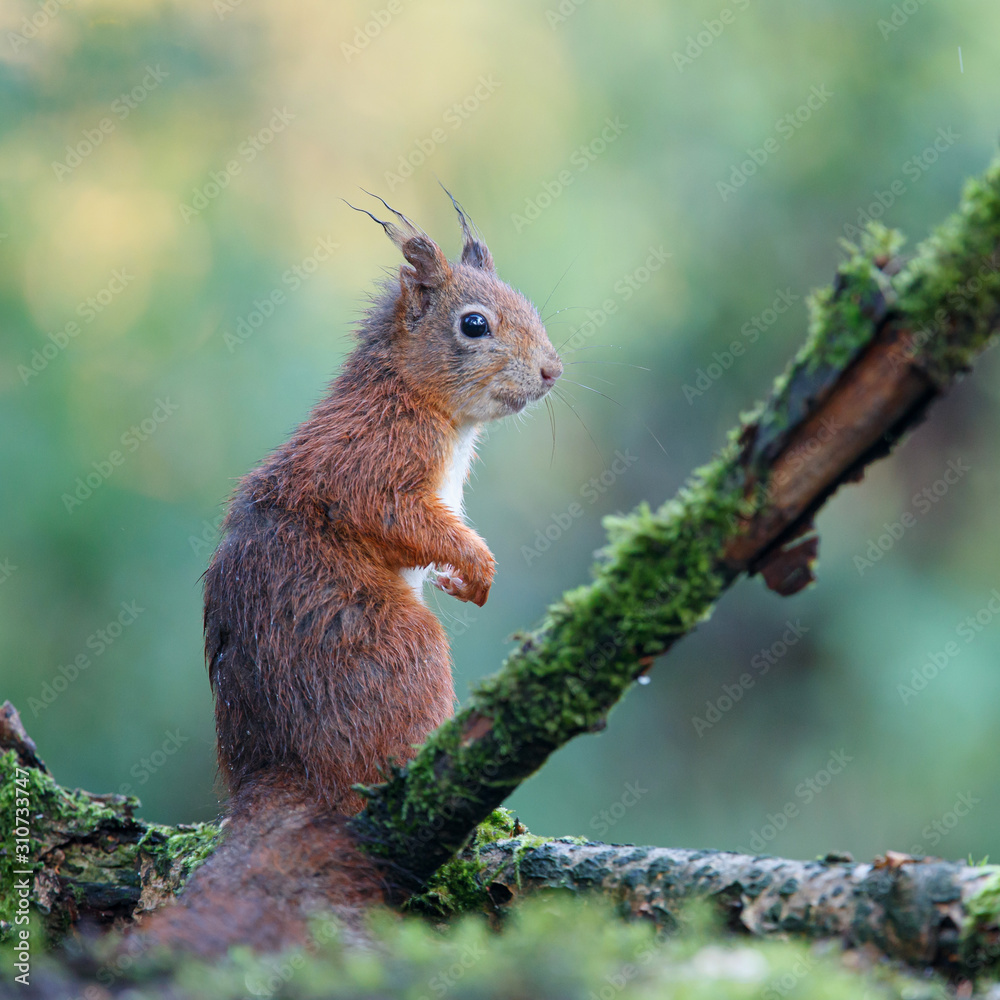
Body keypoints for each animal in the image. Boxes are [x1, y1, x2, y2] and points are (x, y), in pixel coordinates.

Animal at [136, 194, 563, 955]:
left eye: (529, 305)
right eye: (474, 324)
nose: (552, 372)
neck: (412, 393)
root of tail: (281, 770)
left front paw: (463, 579)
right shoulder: (372, 464)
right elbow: (397, 518)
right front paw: (476, 567)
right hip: (400, 649)